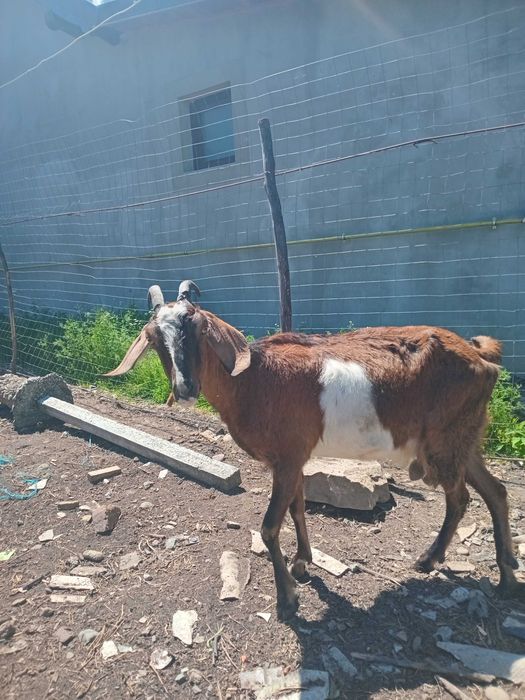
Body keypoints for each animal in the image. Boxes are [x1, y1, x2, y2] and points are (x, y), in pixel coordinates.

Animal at [106, 280, 523, 619]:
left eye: (198, 327)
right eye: (154, 338)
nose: (186, 388)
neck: (254, 380)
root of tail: (482, 356)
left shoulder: (288, 459)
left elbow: (270, 526)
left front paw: (287, 600)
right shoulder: (293, 460)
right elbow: (298, 508)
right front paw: (302, 565)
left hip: (446, 440)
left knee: (461, 497)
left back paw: (441, 560)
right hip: (464, 439)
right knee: (495, 492)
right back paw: (498, 574)